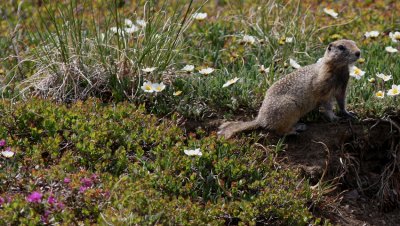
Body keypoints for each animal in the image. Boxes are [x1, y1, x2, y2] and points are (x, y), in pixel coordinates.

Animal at [217, 39, 360, 139]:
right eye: (341, 47)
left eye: (354, 43)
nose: (358, 52)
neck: (339, 69)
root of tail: (260, 119)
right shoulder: (324, 87)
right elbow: (327, 104)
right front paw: (334, 117)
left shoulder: (343, 85)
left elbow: (341, 100)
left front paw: (348, 113)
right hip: (289, 108)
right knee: (279, 131)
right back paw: (294, 130)